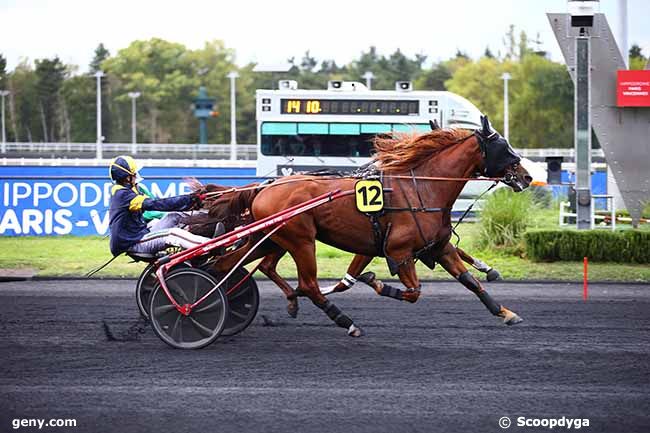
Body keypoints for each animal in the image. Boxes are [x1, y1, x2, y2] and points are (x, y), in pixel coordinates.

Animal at [204, 116, 532, 336]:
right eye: (503, 146)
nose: (527, 176)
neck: (422, 188)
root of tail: (265, 187)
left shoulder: (439, 248)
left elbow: (471, 282)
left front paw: (506, 312)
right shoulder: (398, 251)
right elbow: (412, 292)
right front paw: (375, 281)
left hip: (270, 237)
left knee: (235, 264)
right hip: (301, 241)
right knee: (307, 284)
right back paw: (345, 321)